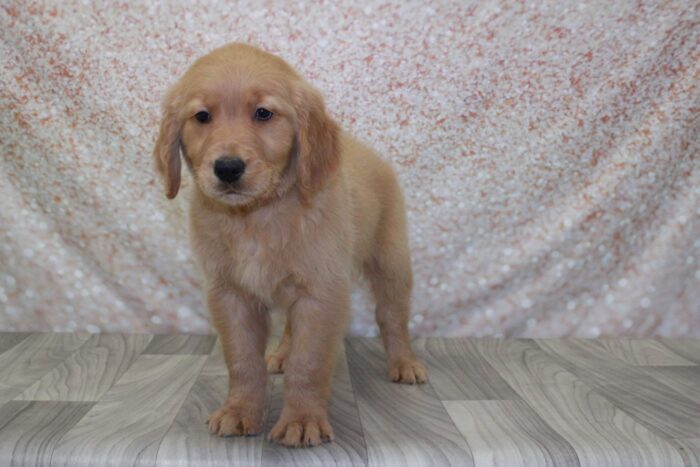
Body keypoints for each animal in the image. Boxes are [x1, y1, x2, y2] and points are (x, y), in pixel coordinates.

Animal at [153, 44, 426, 450]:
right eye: (202, 116)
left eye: (264, 113)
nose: (227, 168)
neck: (257, 215)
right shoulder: (230, 295)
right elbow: (242, 360)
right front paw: (240, 411)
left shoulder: (321, 293)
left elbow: (308, 362)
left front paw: (302, 419)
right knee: (289, 331)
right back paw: (280, 355)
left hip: (391, 261)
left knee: (392, 316)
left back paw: (404, 363)